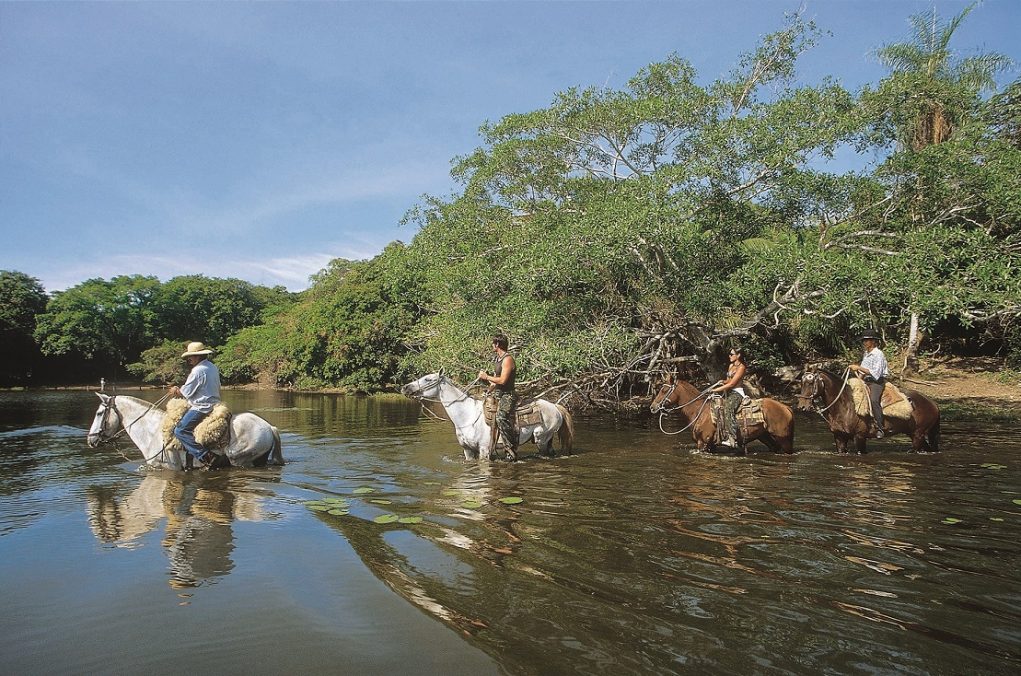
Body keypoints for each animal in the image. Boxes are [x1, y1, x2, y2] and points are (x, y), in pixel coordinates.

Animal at [86, 392, 283, 471]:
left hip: (241, 460)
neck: (151, 432)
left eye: (99, 413)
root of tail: (269, 427)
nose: (91, 440)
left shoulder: (169, 468)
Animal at [400, 373, 575, 463]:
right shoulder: (468, 450)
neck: (466, 416)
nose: (405, 387)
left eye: (428, 379)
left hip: (541, 439)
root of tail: (555, 406)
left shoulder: (484, 450)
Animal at [653, 375, 796, 455]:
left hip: (783, 438)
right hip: (764, 436)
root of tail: (786, 407)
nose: (652, 407)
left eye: (664, 390)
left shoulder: (703, 443)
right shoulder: (711, 446)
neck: (700, 411)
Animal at [796, 371, 939, 455]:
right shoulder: (839, 437)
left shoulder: (859, 437)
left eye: (810, 383)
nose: (802, 406)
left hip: (918, 435)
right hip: (915, 434)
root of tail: (932, 403)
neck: (845, 405)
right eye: (801, 383)